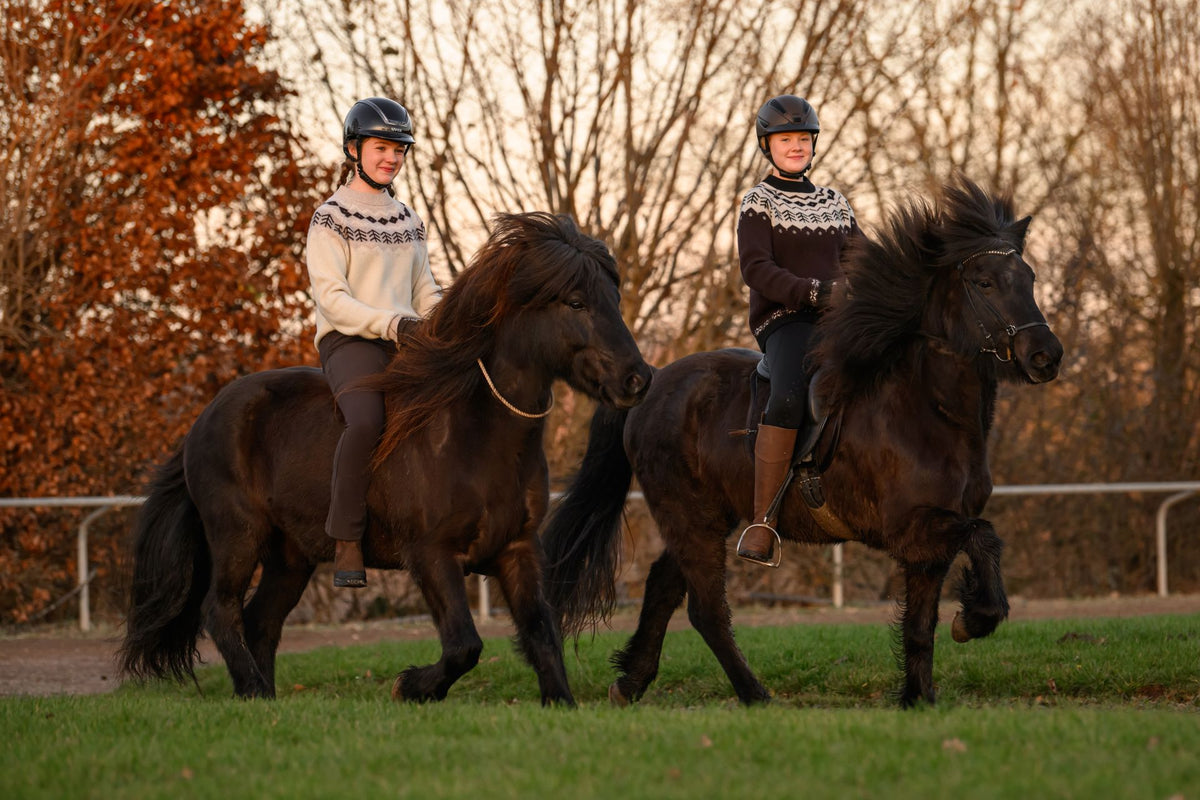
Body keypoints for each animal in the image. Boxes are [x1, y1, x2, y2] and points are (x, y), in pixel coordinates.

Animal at [119, 212, 652, 705]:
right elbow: (464, 645)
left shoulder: (518, 550)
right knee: (220, 610)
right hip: (237, 535)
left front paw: (560, 702)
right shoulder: (431, 554)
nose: (637, 379)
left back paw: (266, 698)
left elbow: (542, 632)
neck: (474, 435)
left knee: (260, 621)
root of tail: (204, 418)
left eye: (614, 299)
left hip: (290, 556)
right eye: (577, 302)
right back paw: (251, 690)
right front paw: (411, 687)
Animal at [542, 179, 1064, 708]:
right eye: (984, 282)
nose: (1046, 356)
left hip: (705, 517)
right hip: (690, 517)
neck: (927, 409)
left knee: (665, 586)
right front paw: (973, 620)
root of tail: (653, 381)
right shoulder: (912, 526)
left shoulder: (926, 544)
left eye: (1029, 278)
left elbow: (922, 625)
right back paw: (754, 695)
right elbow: (985, 536)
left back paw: (631, 683)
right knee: (705, 609)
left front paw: (919, 699)